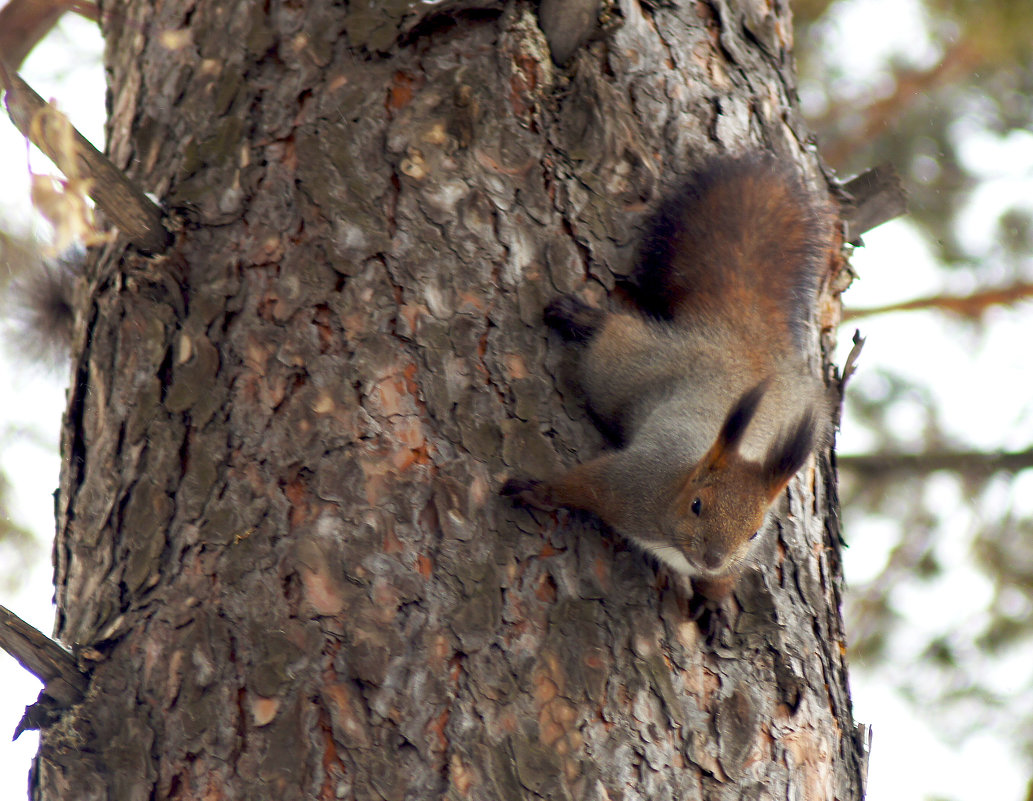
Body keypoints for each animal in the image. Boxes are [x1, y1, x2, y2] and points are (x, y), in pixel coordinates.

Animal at [504, 153, 834, 599]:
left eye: (753, 534)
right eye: (698, 505)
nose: (713, 559)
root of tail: (743, 339)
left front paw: (717, 598)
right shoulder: (627, 484)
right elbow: (579, 484)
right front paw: (536, 491)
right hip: (621, 372)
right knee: (614, 335)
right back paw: (583, 318)